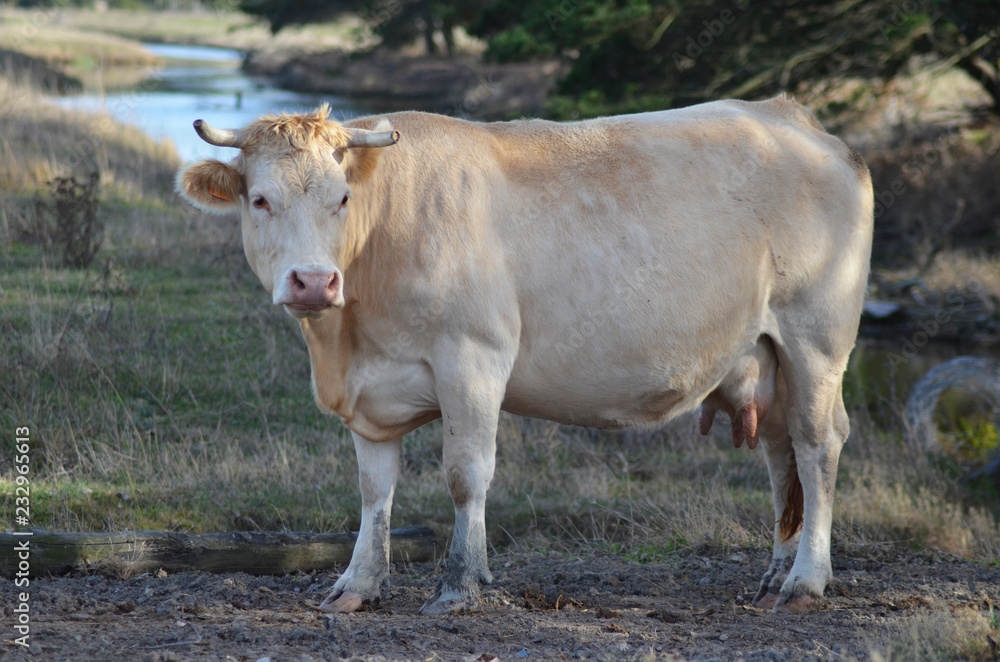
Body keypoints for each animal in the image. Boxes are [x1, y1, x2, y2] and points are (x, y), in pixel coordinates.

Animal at [176, 97, 873, 615]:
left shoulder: (473, 358)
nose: (314, 282)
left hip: (815, 339)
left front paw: (462, 584)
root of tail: (792, 117)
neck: (347, 338)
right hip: (765, 355)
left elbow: (466, 474)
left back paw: (806, 580)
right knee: (781, 454)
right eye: (260, 199)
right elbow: (375, 489)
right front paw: (358, 584)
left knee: (817, 445)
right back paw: (776, 571)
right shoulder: (370, 391)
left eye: (340, 199)